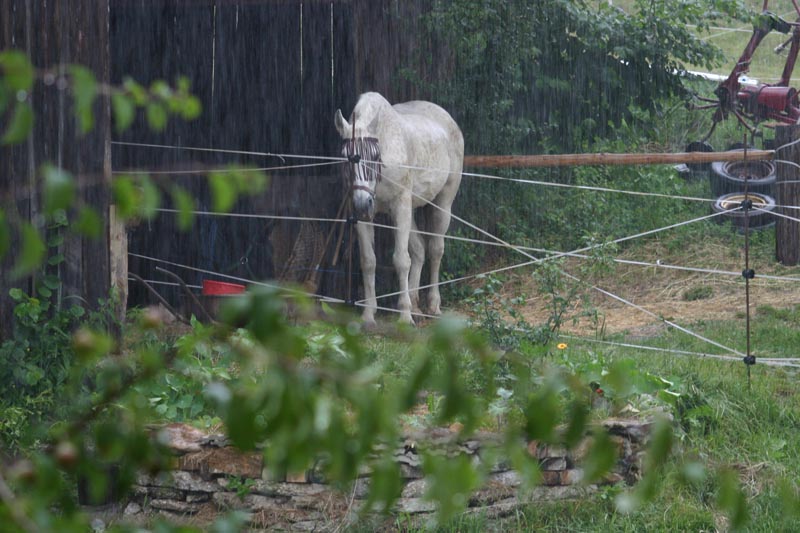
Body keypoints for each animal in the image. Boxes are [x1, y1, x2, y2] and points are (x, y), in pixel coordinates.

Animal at [336, 92, 462, 324]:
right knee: (420, 249)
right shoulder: (364, 216)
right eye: (345, 157)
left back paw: (433, 305)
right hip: (410, 209)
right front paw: (369, 314)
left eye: (375, 157)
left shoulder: (400, 205)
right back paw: (416, 306)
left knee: (435, 249)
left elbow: (401, 260)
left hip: (442, 202)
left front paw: (404, 315)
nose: (362, 203)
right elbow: (368, 261)